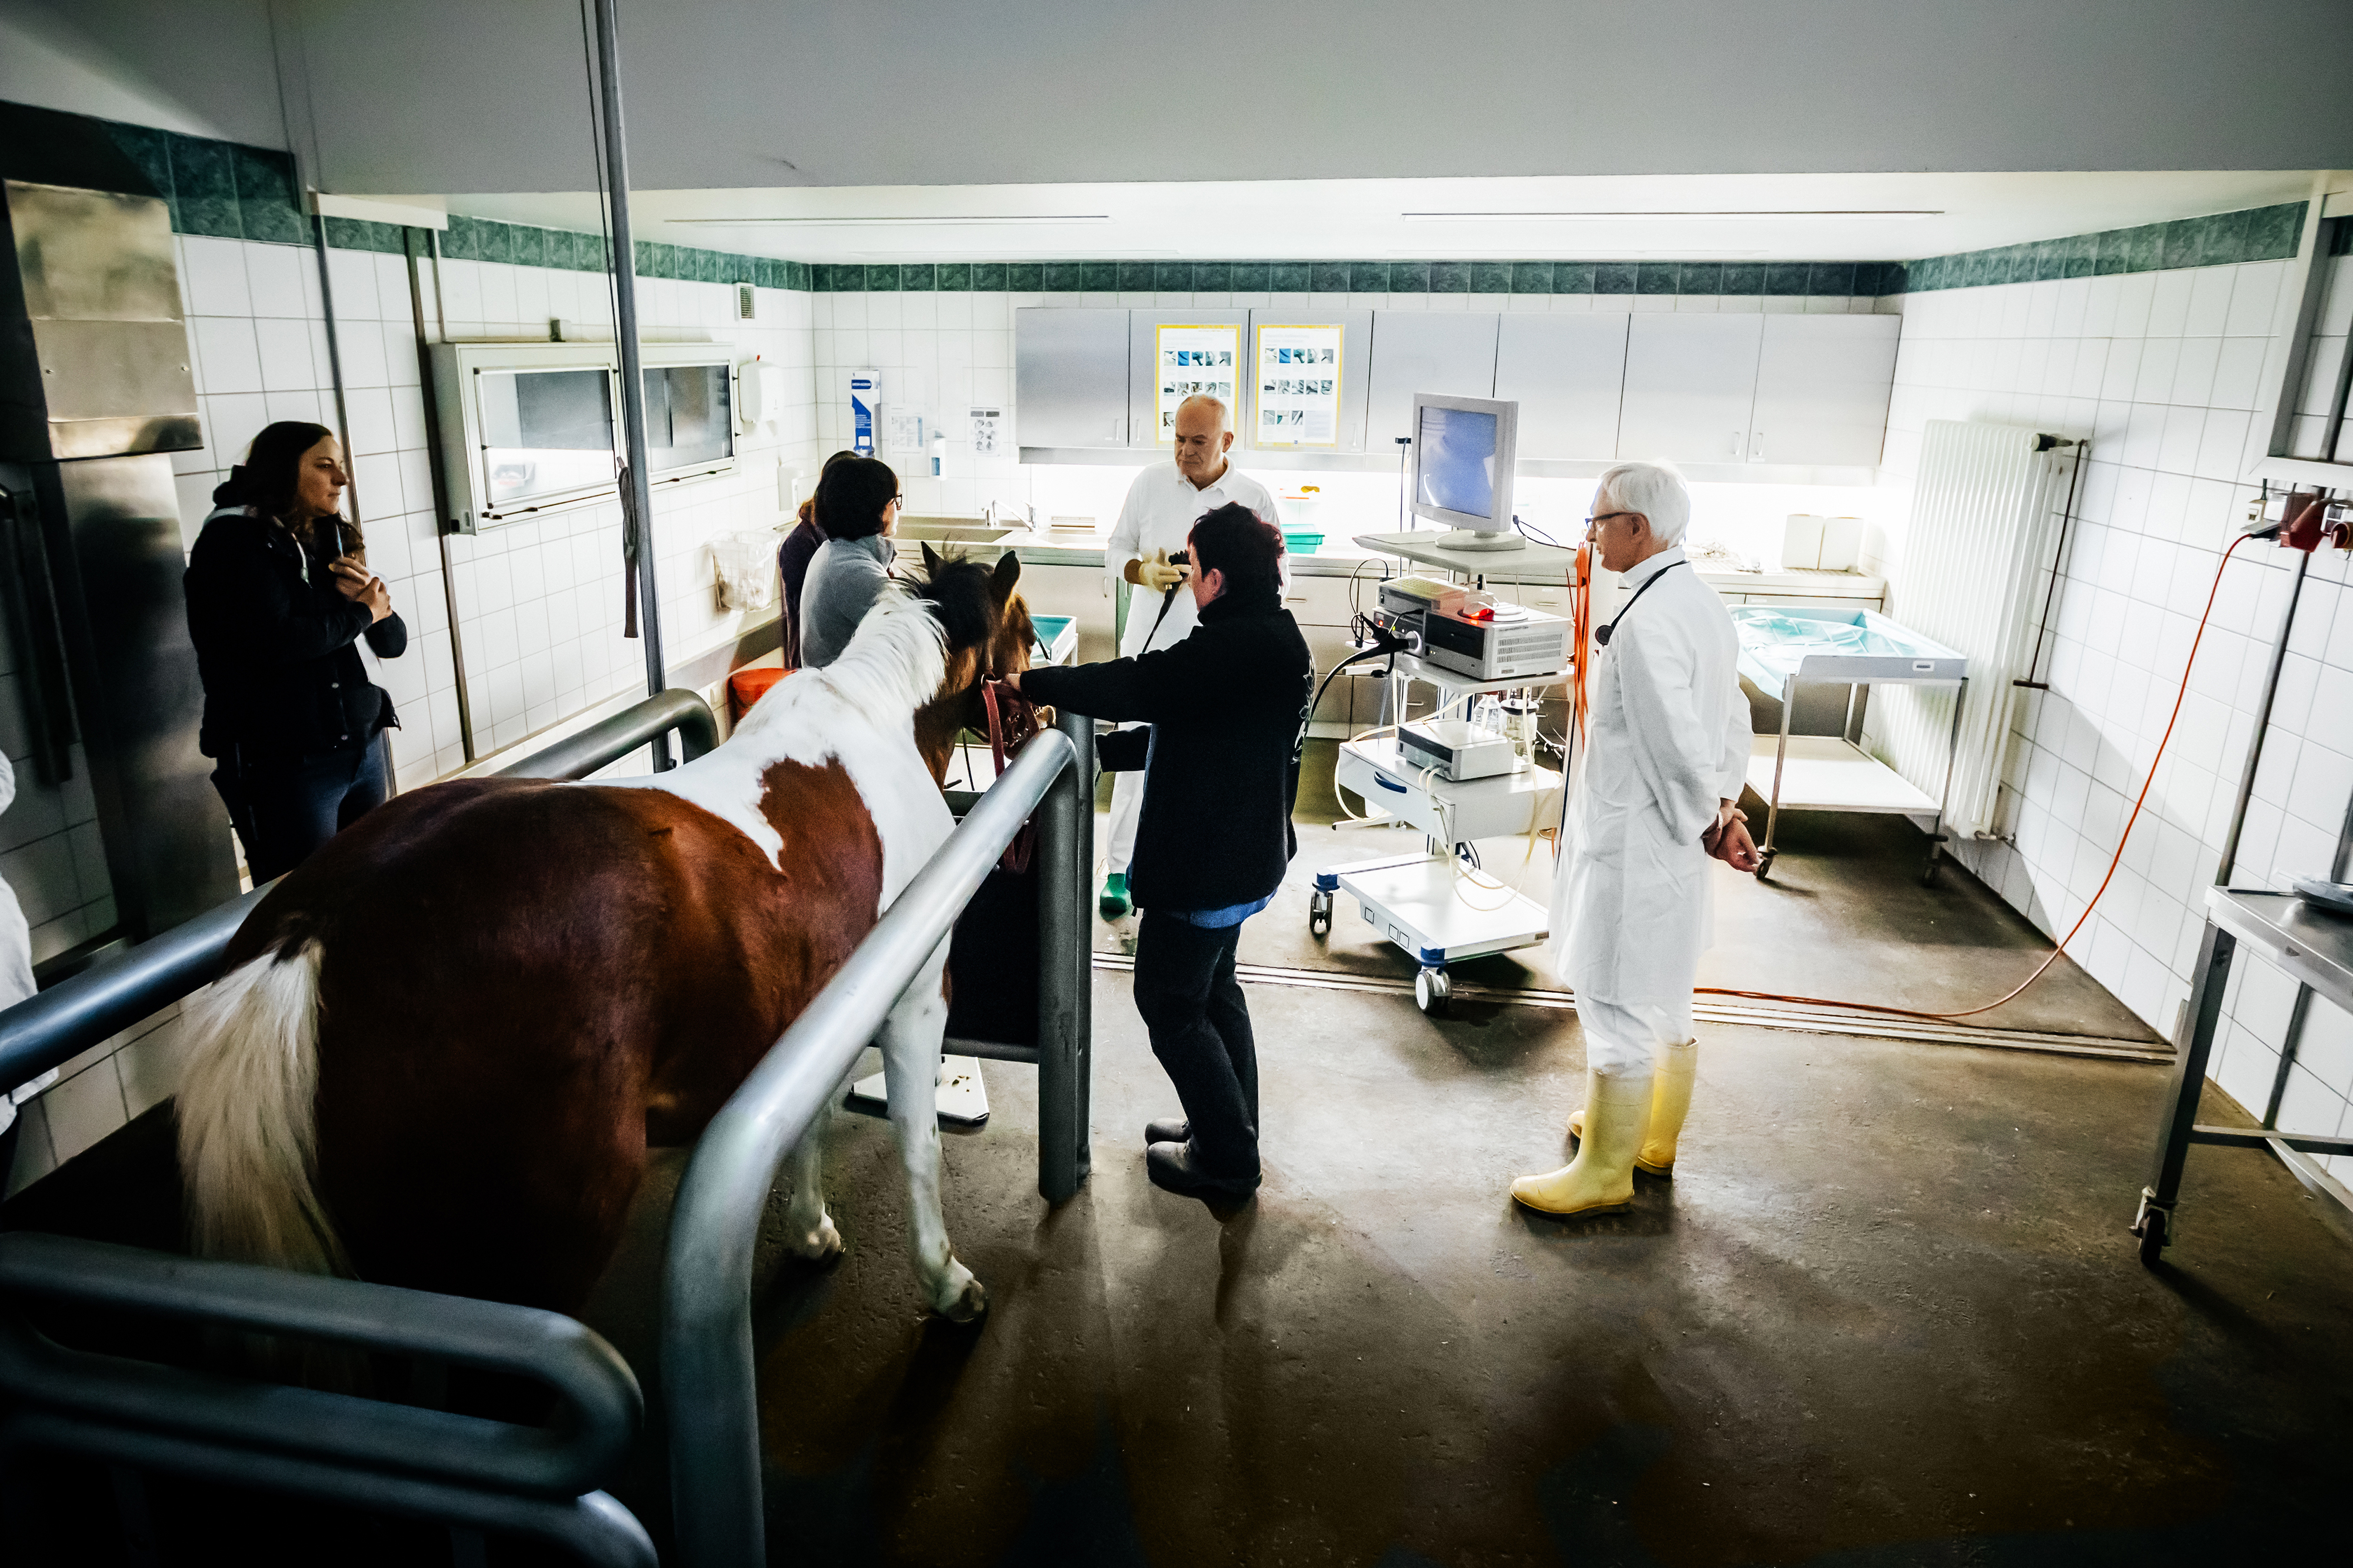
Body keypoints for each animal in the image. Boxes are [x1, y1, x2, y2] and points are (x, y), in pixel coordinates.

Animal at [171, 548, 1035, 1318]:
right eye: (1027, 629)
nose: (1044, 711)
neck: (877, 725)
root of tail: (310, 936)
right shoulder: (914, 995)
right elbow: (918, 1141)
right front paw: (946, 1280)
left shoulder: (821, 1005)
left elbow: (811, 1116)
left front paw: (812, 1230)